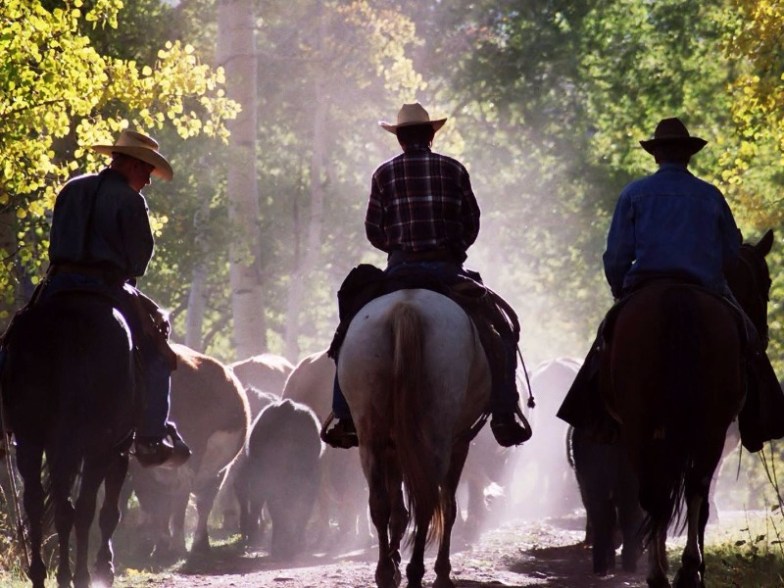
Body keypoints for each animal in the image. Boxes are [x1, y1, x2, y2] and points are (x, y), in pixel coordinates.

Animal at [0, 292, 135, 588]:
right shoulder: (117, 449)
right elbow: (108, 511)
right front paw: (103, 569)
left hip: (32, 439)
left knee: (40, 504)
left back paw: (42, 574)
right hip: (96, 446)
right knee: (83, 508)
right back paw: (80, 575)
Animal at [608, 231, 772, 588]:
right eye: (766, 283)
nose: (764, 335)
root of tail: (678, 297)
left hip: (645, 428)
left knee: (657, 492)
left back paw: (662, 572)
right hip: (705, 428)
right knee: (691, 489)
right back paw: (684, 569)